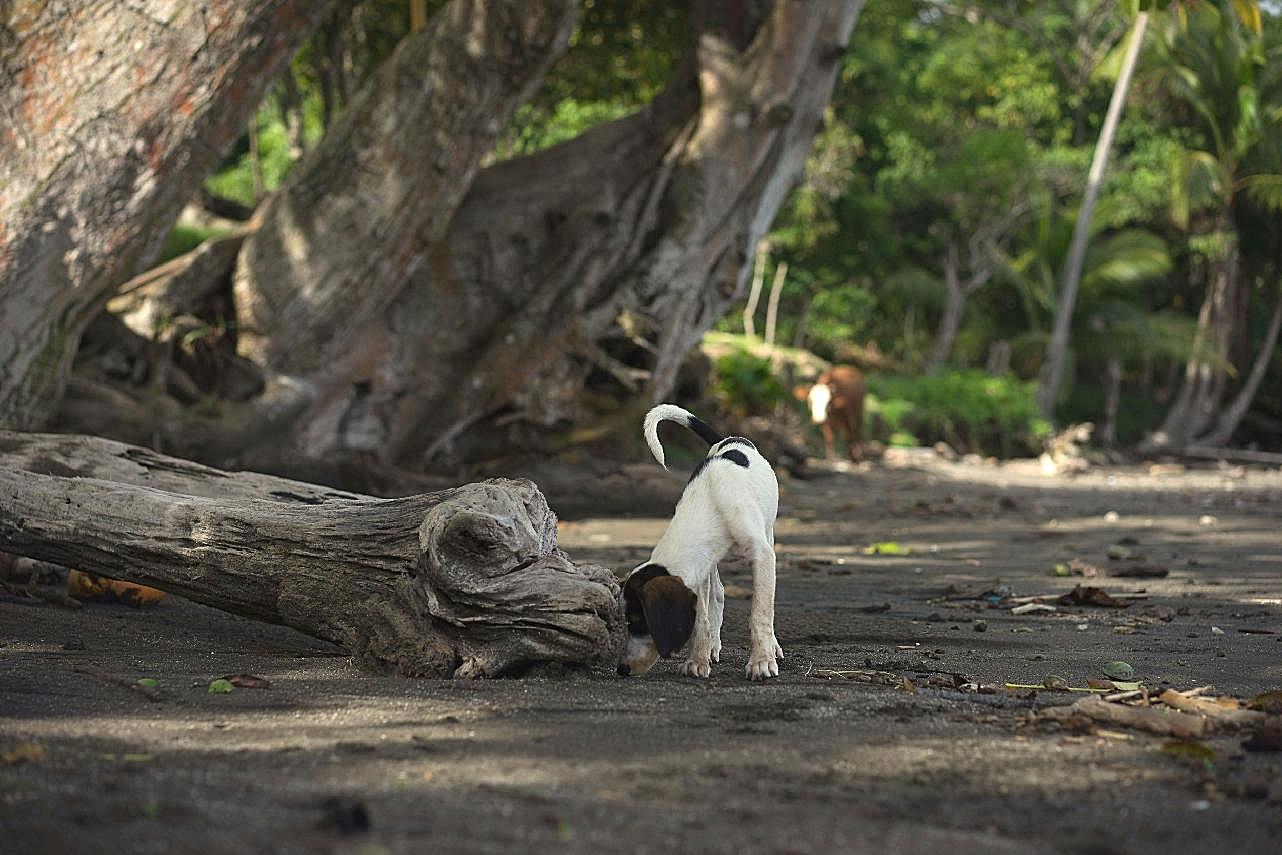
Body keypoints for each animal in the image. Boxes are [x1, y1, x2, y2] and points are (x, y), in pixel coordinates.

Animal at [617, 402, 784, 681]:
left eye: (638, 621)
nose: (622, 668)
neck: (712, 501)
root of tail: (729, 439)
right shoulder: (700, 570)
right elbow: (701, 620)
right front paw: (697, 659)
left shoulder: (762, 556)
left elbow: (760, 613)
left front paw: (761, 661)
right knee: (718, 594)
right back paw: (713, 646)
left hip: (768, 533)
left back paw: (772, 647)